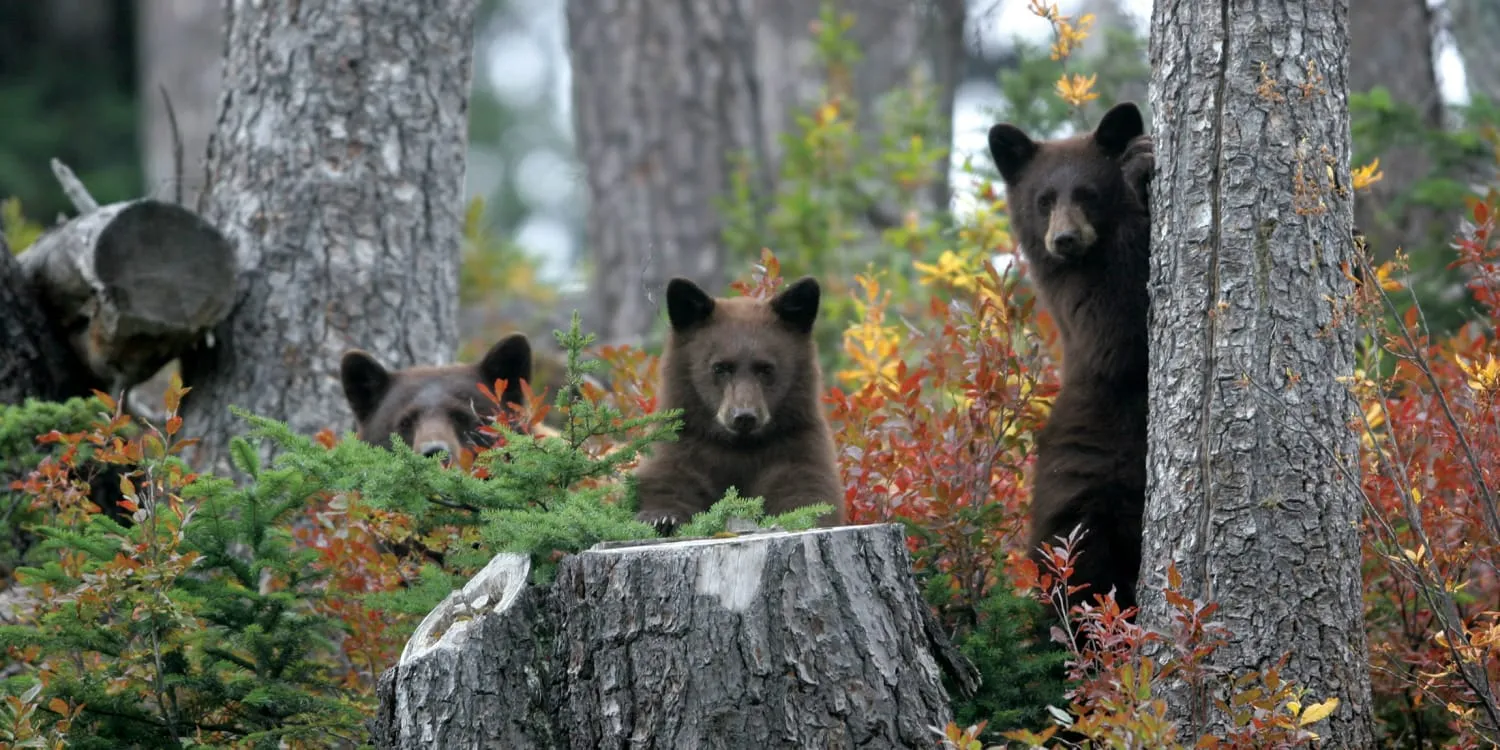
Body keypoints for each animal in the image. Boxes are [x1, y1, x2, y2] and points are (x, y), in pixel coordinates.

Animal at [630, 275, 846, 534]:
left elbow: (807, 491)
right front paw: (661, 517)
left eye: (765, 368)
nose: (744, 416)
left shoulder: (797, 444)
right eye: (720, 367)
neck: (739, 448)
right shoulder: (682, 442)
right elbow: (669, 478)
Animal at [985, 101, 1155, 616]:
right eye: (1044, 199)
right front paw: (1137, 168)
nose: (1063, 238)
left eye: (1087, 194)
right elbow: (1117, 330)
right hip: (1078, 495)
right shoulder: (1071, 298)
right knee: (1080, 578)